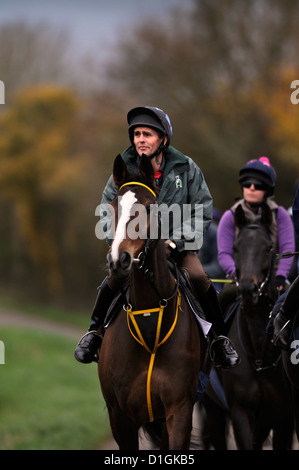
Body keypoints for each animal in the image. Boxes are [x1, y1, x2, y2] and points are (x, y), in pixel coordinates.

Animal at [97, 156, 207, 450]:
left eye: (148, 207)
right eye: (113, 208)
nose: (118, 260)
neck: (149, 317)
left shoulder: (179, 409)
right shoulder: (120, 417)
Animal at [202, 206, 296, 452]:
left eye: (269, 247)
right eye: (235, 247)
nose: (247, 289)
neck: (260, 356)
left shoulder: (284, 419)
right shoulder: (240, 412)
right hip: (213, 409)